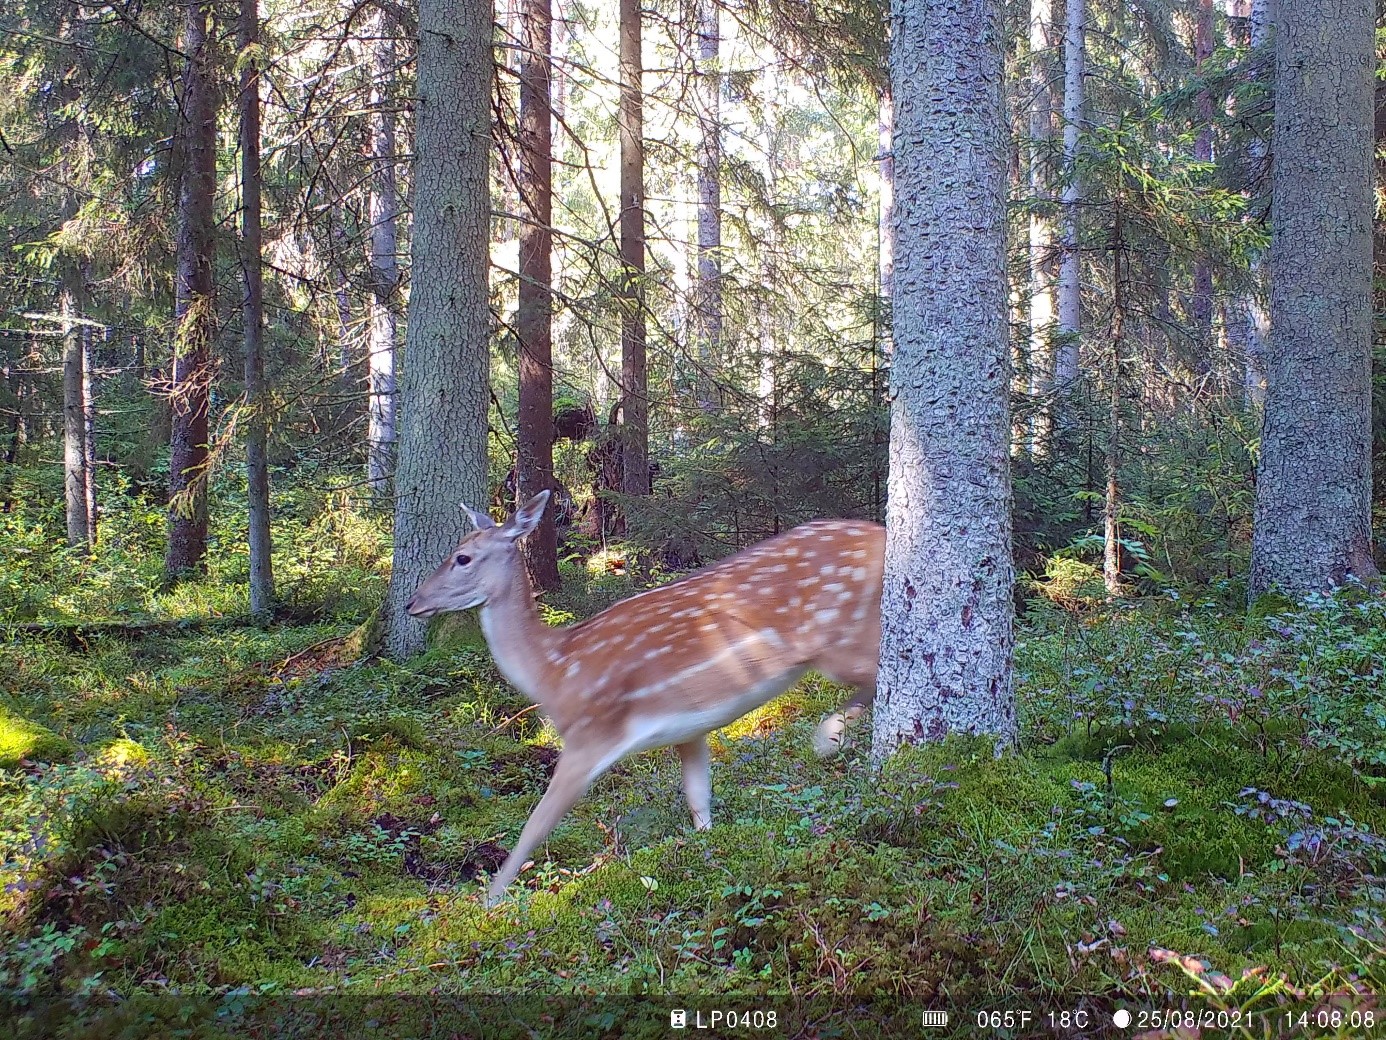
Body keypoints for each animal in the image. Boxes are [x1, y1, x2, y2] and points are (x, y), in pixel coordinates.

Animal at [404, 490, 881, 904]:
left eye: (462, 557)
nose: (413, 603)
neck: (553, 670)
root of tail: (881, 535)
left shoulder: (588, 737)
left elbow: (534, 827)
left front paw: (489, 903)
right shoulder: (689, 729)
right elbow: (698, 801)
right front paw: (709, 856)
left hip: (842, 638)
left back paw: (827, 737)